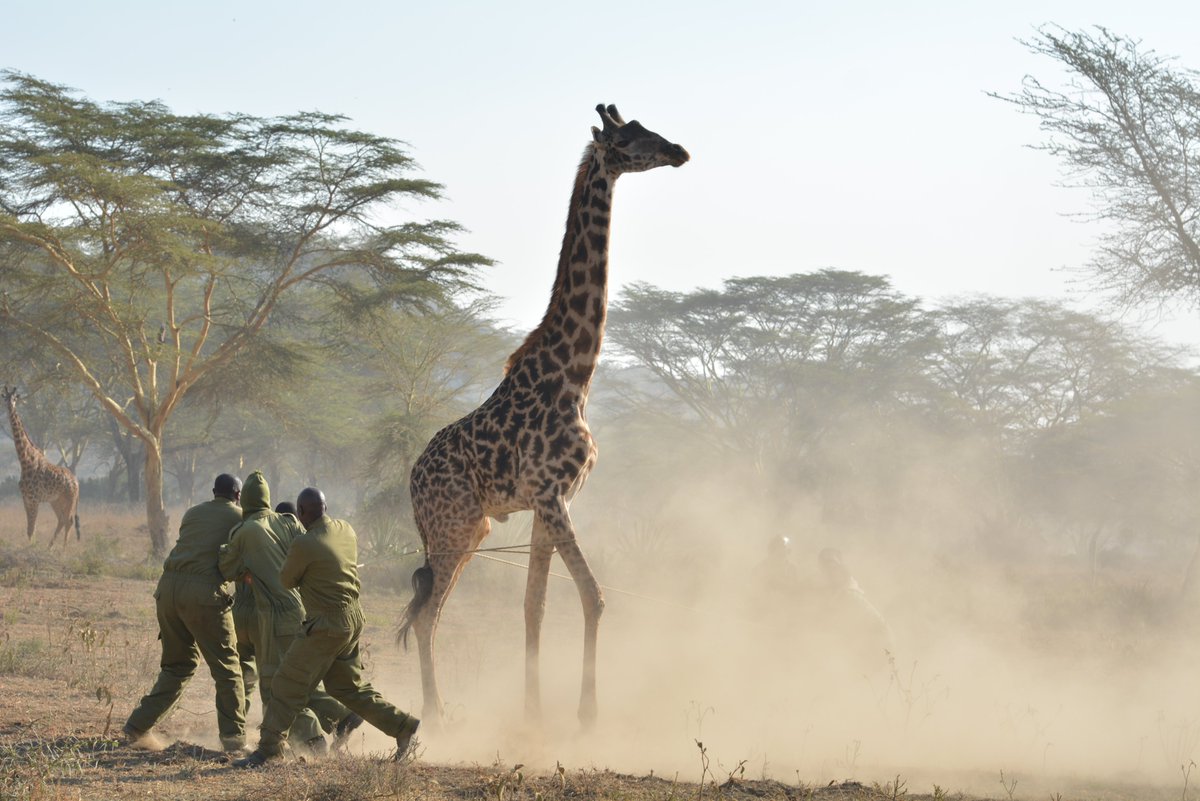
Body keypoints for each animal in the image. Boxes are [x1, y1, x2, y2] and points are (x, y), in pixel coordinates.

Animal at [2, 386, 81, 547]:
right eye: (5, 397)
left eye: (15, 398)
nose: (9, 406)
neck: (25, 461)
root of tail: (76, 482)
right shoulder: (25, 498)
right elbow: (29, 529)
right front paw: (31, 546)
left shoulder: (34, 499)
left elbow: (32, 528)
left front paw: (31, 548)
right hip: (56, 500)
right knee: (62, 520)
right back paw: (49, 547)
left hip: (69, 499)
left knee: (69, 521)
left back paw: (63, 549)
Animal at [397, 104, 688, 729]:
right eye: (630, 138)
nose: (679, 150)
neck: (575, 376)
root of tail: (411, 480)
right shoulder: (553, 495)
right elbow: (592, 597)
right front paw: (587, 712)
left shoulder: (549, 500)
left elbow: (534, 604)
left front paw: (533, 710)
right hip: (453, 525)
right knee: (427, 613)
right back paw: (435, 712)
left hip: (473, 528)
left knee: (430, 609)